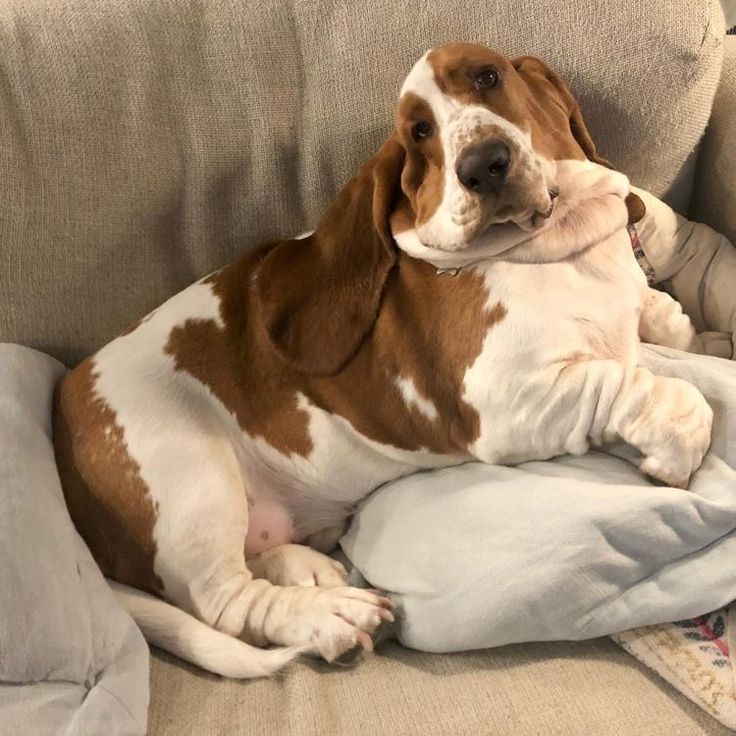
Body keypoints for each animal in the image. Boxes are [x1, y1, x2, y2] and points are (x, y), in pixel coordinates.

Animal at [53, 43, 712, 680]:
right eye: (419, 132)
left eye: (488, 76)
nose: (483, 165)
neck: (560, 247)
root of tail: (63, 408)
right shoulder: (508, 403)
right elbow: (647, 385)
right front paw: (678, 442)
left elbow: (662, 319)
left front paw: (695, 334)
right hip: (191, 480)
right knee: (226, 603)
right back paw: (331, 617)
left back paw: (308, 570)